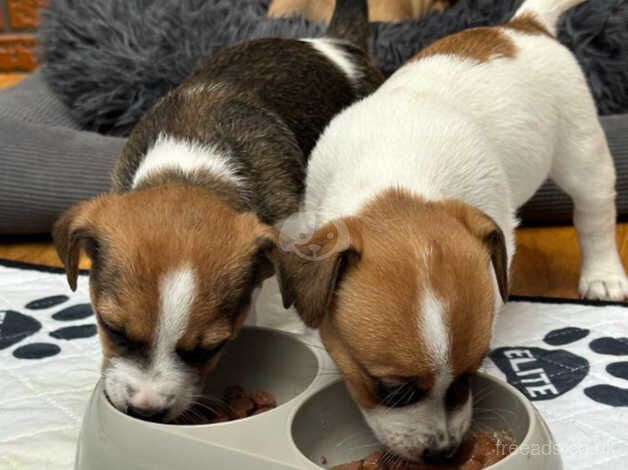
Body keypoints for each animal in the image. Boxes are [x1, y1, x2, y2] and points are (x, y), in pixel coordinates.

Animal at [274, 0, 624, 464]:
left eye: (471, 374)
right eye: (390, 388)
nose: (444, 452)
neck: (396, 178)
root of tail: (522, 26)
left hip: (579, 147)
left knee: (594, 210)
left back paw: (603, 275)